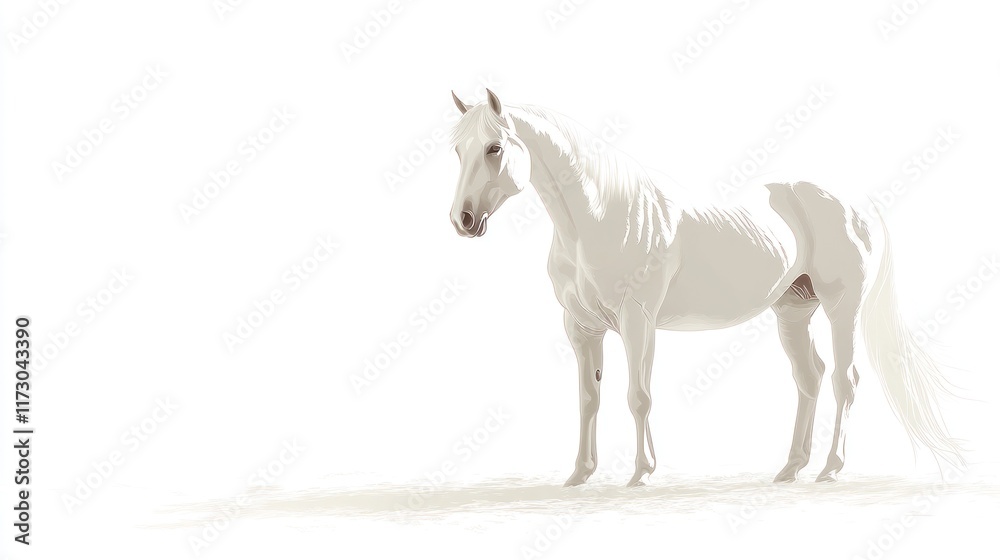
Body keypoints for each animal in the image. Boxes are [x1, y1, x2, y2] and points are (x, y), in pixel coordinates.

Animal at [446, 89, 964, 486]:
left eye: (494, 147)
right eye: (457, 150)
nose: (462, 220)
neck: (601, 216)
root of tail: (857, 203)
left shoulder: (638, 320)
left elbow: (637, 395)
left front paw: (642, 473)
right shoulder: (581, 327)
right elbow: (588, 399)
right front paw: (579, 474)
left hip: (842, 307)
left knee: (844, 379)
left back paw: (830, 469)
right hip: (793, 312)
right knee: (809, 377)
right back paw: (790, 469)